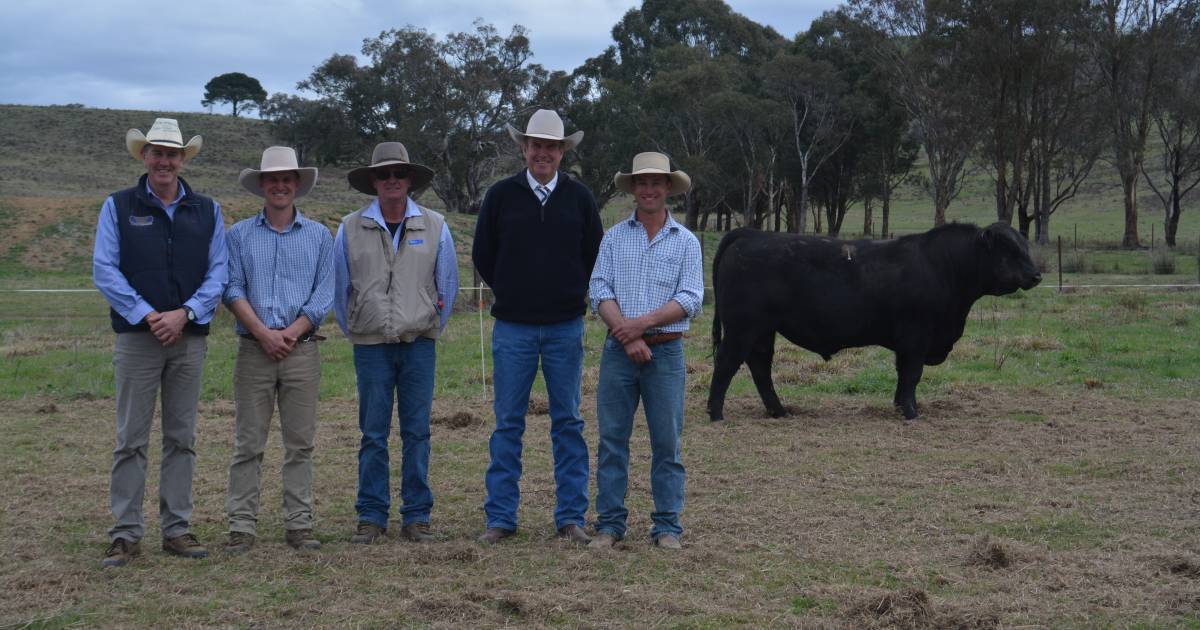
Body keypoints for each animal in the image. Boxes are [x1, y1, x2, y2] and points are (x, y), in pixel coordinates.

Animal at [705, 223, 1036, 420]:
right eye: (1010, 250)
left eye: (1025, 247)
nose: (1036, 274)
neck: (943, 266)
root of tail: (752, 233)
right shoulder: (916, 336)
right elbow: (912, 374)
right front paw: (911, 411)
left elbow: (904, 375)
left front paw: (901, 406)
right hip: (742, 328)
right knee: (727, 363)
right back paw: (716, 412)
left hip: (763, 331)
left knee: (760, 365)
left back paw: (779, 410)